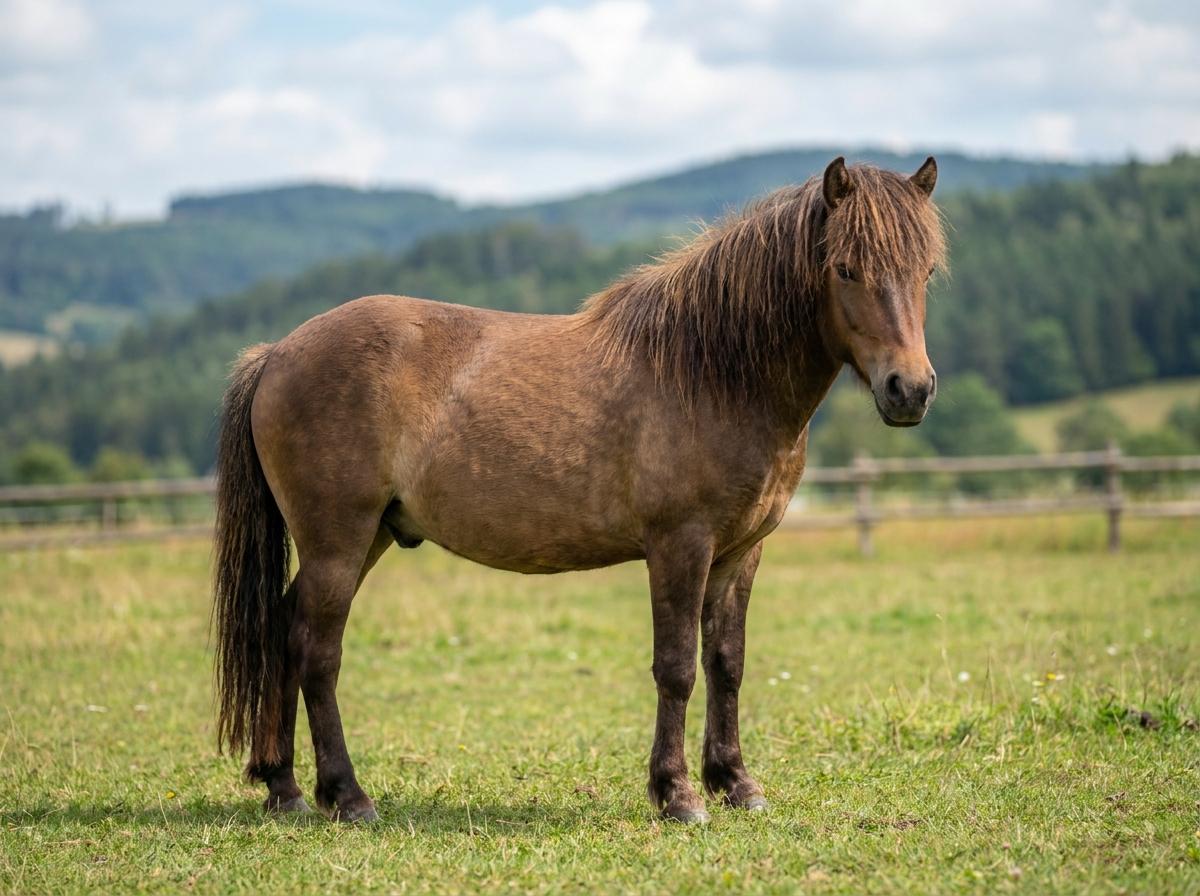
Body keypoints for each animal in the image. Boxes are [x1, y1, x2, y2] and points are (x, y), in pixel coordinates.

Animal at [212, 156, 945, 824]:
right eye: (845, 268)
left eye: (926, 272)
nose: (909, 390)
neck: (710, 373)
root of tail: (276, 353)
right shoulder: (680, 545)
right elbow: (677, 666)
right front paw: (678, 795)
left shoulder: (740, 553)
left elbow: (726, 664)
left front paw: (736, 784)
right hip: (340, 541)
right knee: (317, 651)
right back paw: (347, 796)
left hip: (369, 540)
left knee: (284, 630)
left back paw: (284, 787)